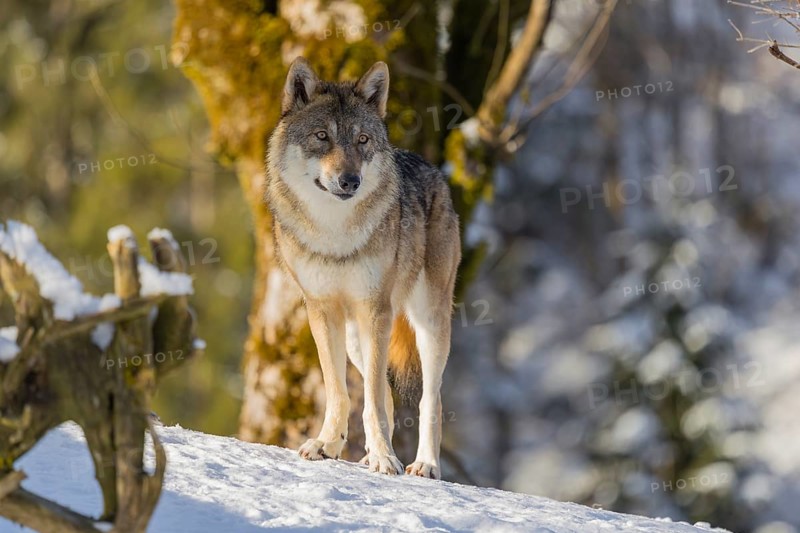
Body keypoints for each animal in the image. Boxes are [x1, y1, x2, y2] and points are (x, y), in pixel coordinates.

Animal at [265, 57, 461, 479]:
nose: (349, 180)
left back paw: (424, 463)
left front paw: (387, 459)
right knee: (384, 393)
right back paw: (370, 453)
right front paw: (326, 444)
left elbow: (370, 398)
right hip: (357, 334)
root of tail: (433, 169)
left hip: (427, 322)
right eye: (322, 136)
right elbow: (339, 391)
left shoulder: (376, 310)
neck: (334, 232)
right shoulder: (322, 310)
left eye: (363, 140)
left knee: (429, 398)